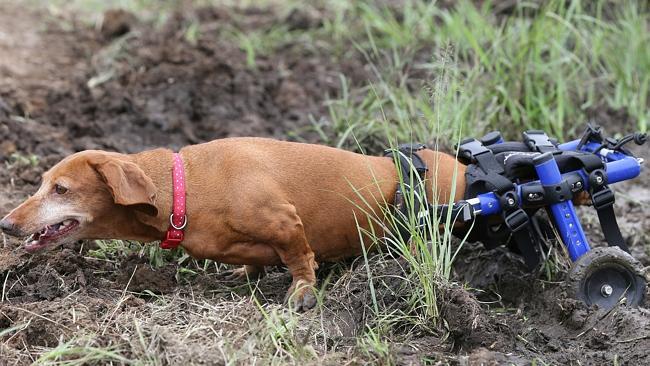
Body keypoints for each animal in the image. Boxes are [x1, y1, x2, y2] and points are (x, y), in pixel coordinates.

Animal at [0, 137, 466, 308]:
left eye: (60, 189)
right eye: (40, 183)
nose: (6, 225)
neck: (187, 188)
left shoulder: (286, 224)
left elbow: (301, 260)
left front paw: (302, 291)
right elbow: (253, 261)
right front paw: (247, 274)